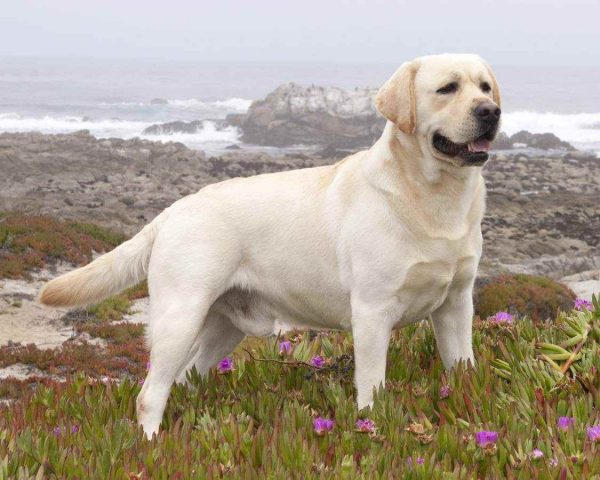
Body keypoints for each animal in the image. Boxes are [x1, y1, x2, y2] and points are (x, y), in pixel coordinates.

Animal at [39, 53, 502, 438]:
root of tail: (170, 212)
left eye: (484, 86)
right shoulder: (373, 312)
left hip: (222, 328)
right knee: (149, 393)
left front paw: (470, 403)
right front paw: (371, 424)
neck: (434, 198)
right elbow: (372, 387)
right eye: (447, 88)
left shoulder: (456, 304)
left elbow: (463, 365)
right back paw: (151, 445)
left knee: (185, 378)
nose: (491, 111)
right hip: (180, 316)